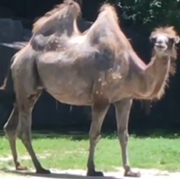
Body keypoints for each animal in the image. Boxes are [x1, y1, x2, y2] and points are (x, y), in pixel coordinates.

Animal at [0, 0, 179, 177]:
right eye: (154, 38)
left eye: (171, 39)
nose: (160, 44)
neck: (131, 70)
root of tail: (17, 56)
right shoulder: (101, 98)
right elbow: (95, 134)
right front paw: (92, 169)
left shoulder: (124, 99)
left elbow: (124, 134)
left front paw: (130, 171)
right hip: (26, 75)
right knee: (24, 130)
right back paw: (40, 167)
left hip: (31, 88)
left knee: (11, 124)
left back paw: (19, 165)